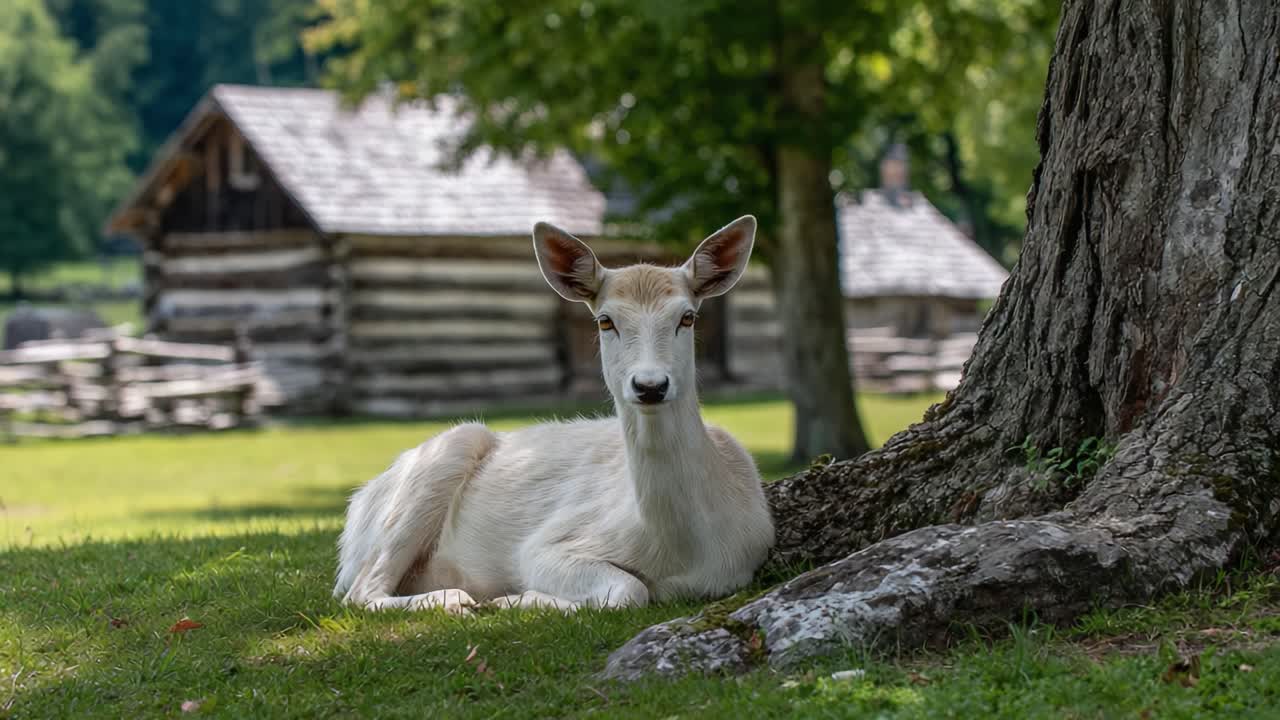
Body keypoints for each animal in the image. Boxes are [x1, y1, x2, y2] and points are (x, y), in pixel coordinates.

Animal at [333, 216, 775, 613]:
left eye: (687, 316)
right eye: (605, 320)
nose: (650, 385)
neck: (681, 551)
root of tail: (355, 514)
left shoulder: (741, 566)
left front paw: (515, 599)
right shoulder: (547, 544)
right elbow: (629, 590)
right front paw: (515, 599)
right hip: (436, 464)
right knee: (360, 591)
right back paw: (455, 600)